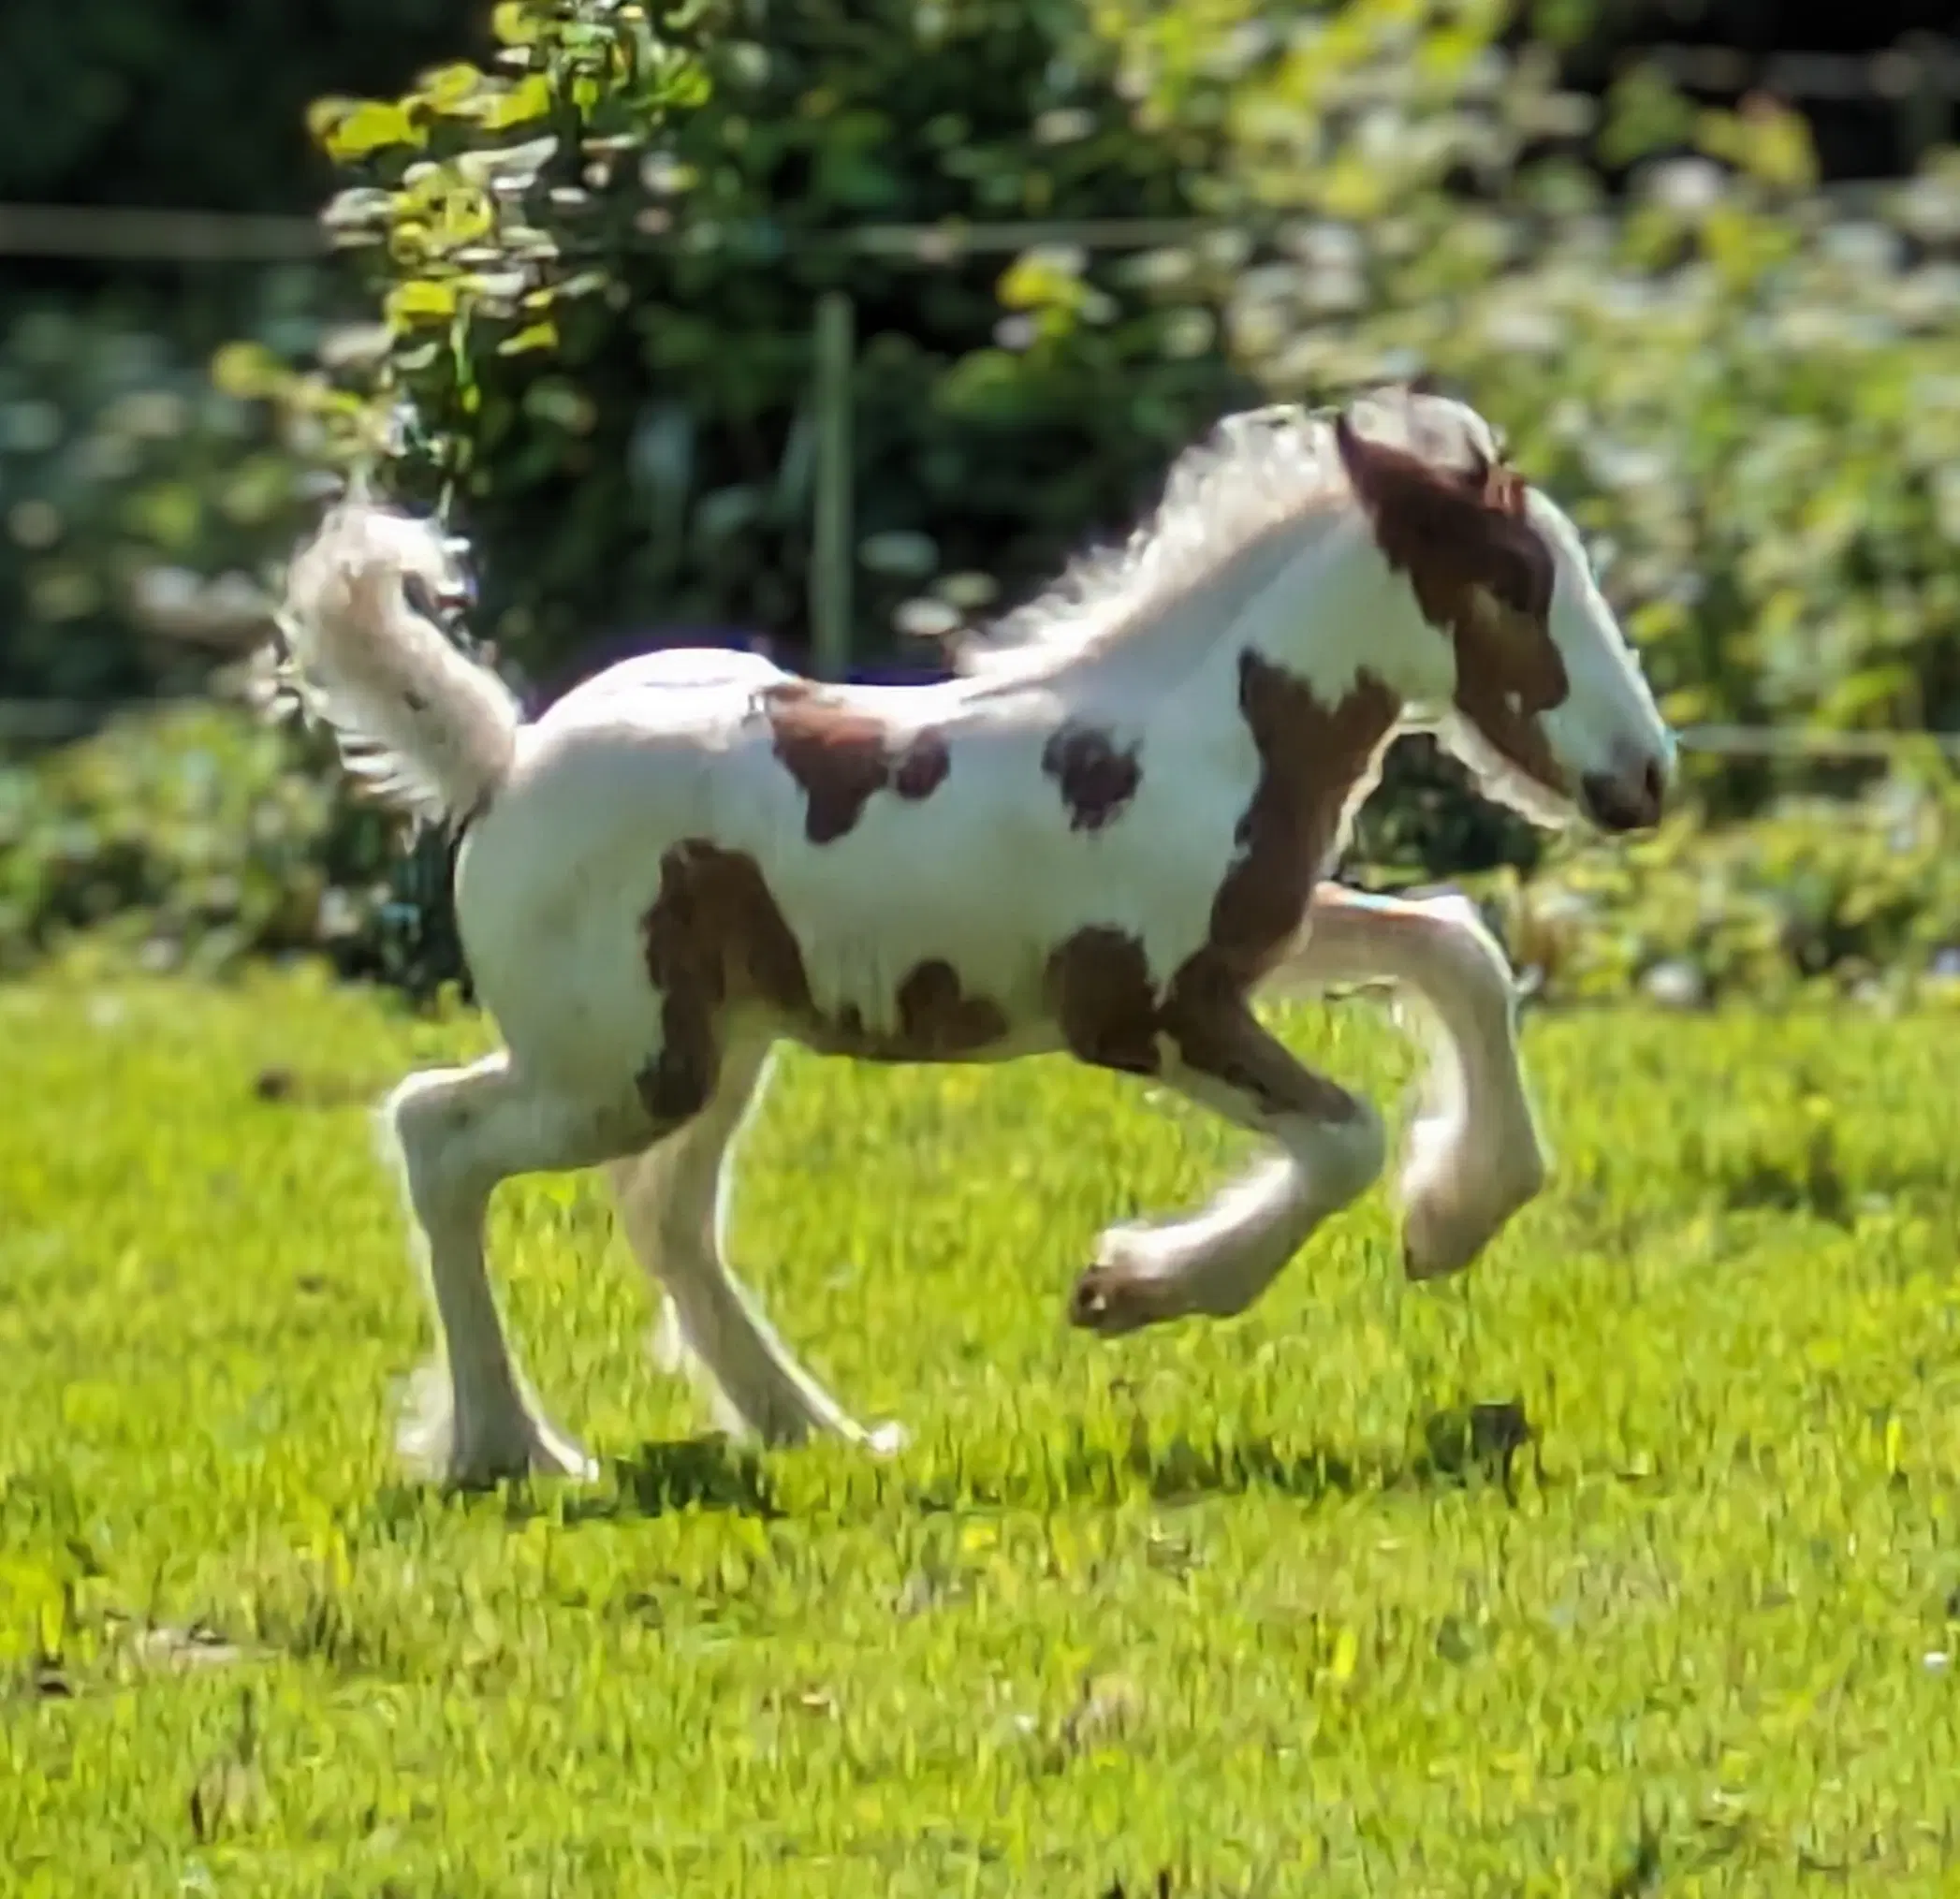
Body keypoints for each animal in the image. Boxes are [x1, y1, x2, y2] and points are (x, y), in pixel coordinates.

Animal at [276, 386, 1677, 1481]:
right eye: (1513, 585)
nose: (1647, 779)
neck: (1203, 735)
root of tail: (502, 763)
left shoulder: (1262, 942)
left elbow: (1456, 949)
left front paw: (1450, 1217)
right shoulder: (1138, 1011)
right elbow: (1343, 1136)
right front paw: (1129, 1287)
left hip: (716, 1046)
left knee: (662, 1214)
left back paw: (817, 1435)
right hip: (620, 1066)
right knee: (439, 1135)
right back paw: (509, 1448)